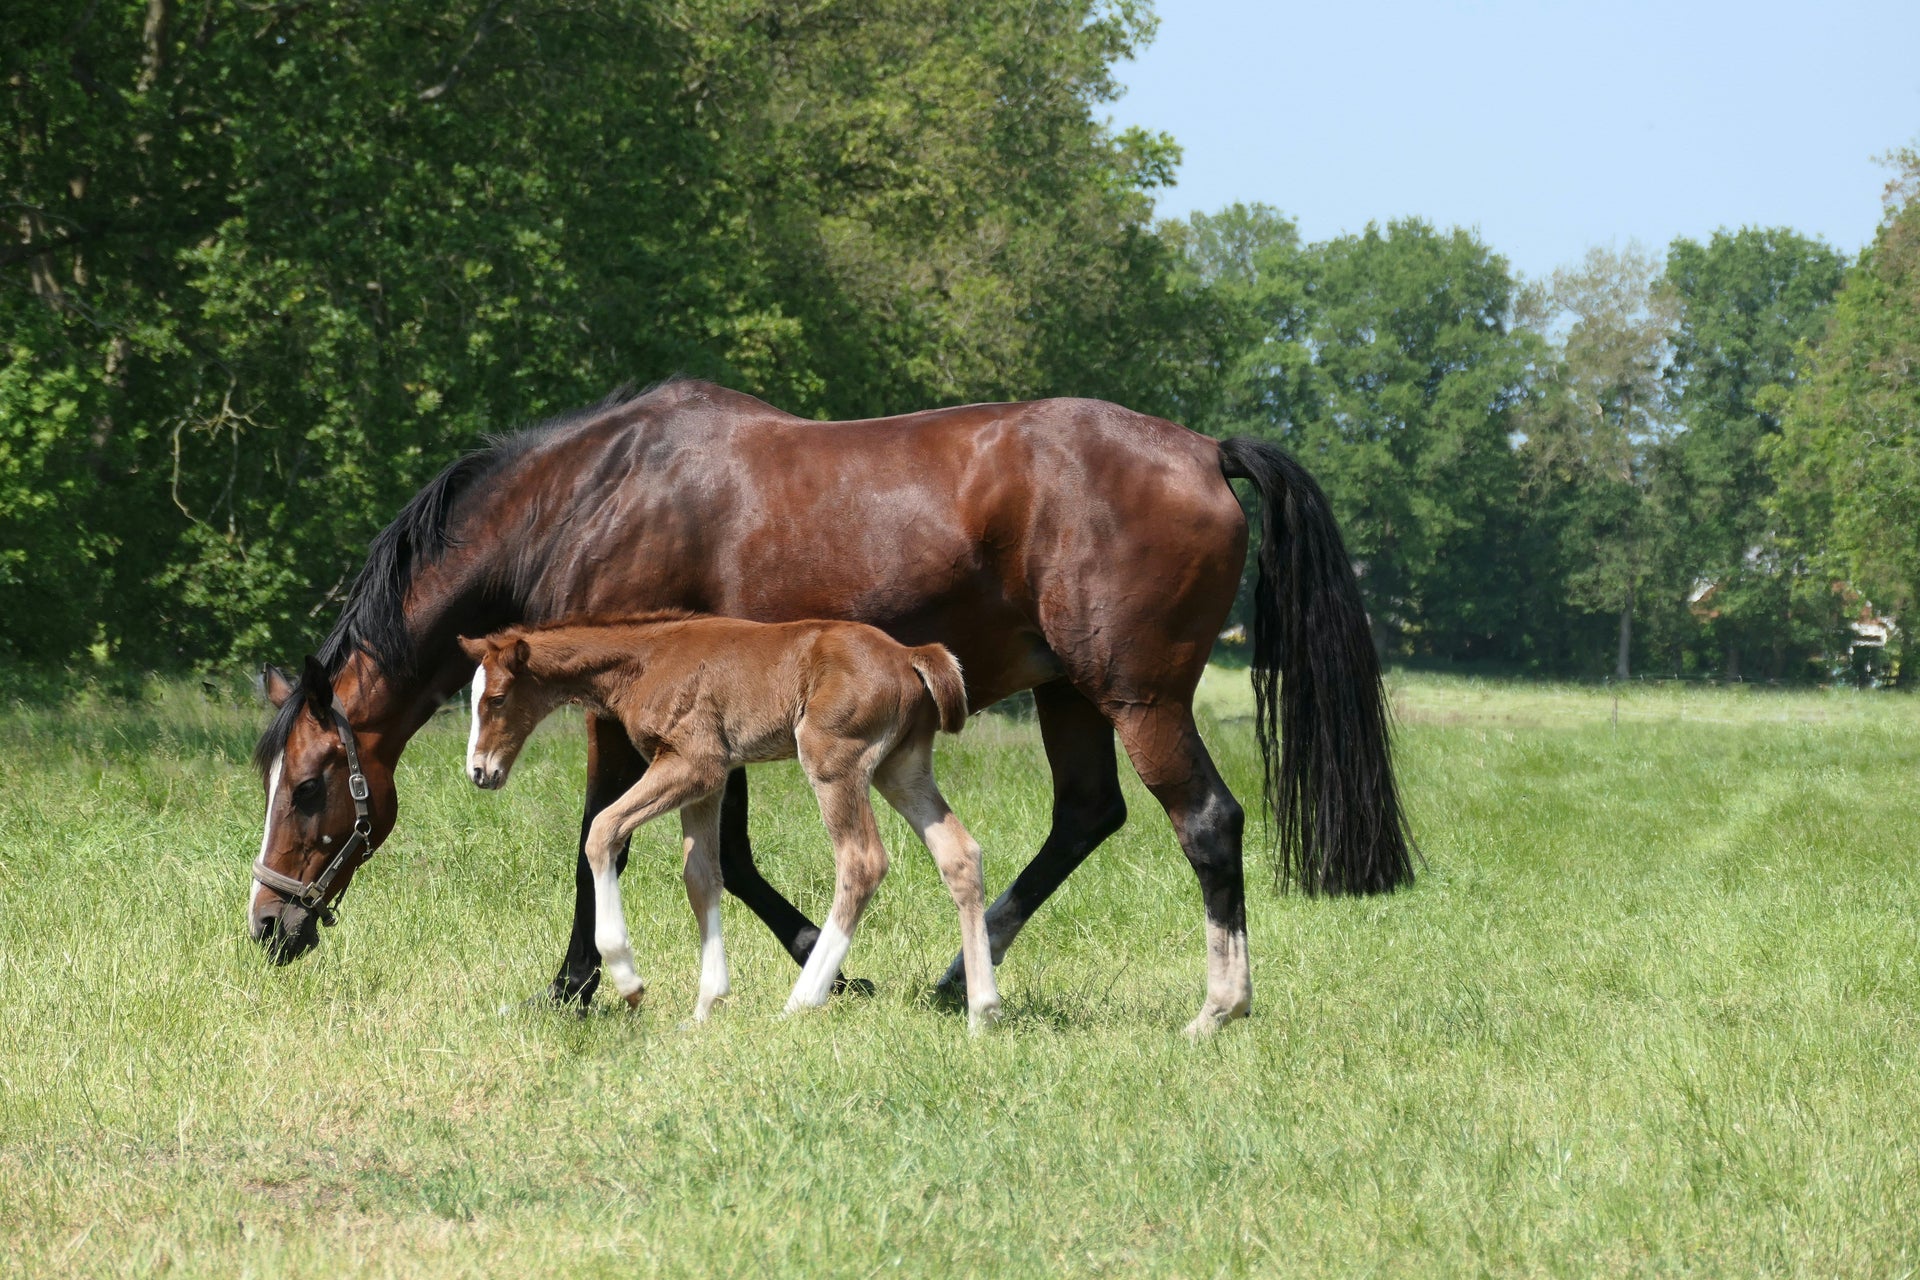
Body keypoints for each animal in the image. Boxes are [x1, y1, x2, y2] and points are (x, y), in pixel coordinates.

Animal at [457, 613, 998, 1030]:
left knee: (862, 862)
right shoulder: (707, 783)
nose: (479, 771)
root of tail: (910, 654)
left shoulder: (695, 763)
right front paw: (705, 1006)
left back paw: (802, 1000)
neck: (646, 660)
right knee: (960, 854)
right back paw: (982, 1012)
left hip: (833, 760)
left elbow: (603, 831)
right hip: (901, 768)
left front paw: (628, 978)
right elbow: (701, 877)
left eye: (497, 698)